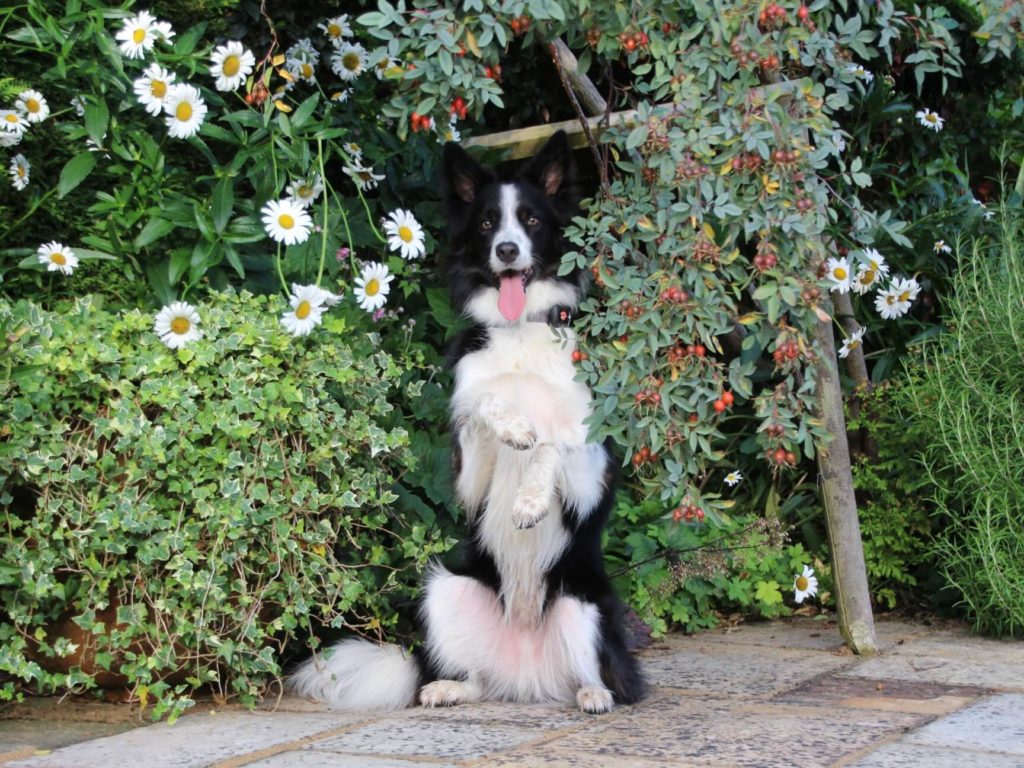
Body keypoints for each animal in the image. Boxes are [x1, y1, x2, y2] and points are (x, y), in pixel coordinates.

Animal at [288, 131, 638, 716]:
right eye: (486, 224)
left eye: (531, 219)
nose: (507, 251)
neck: (520, 332)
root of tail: (527, 677)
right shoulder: (470, 477)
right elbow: (483, 404)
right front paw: (514, 425)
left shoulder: (590, 472)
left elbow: (551, 445)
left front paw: (529, 499)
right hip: (446, 589)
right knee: (476, 678)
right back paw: (448, 687)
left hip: (583, 604)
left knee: (599, 674)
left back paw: (594, 693)